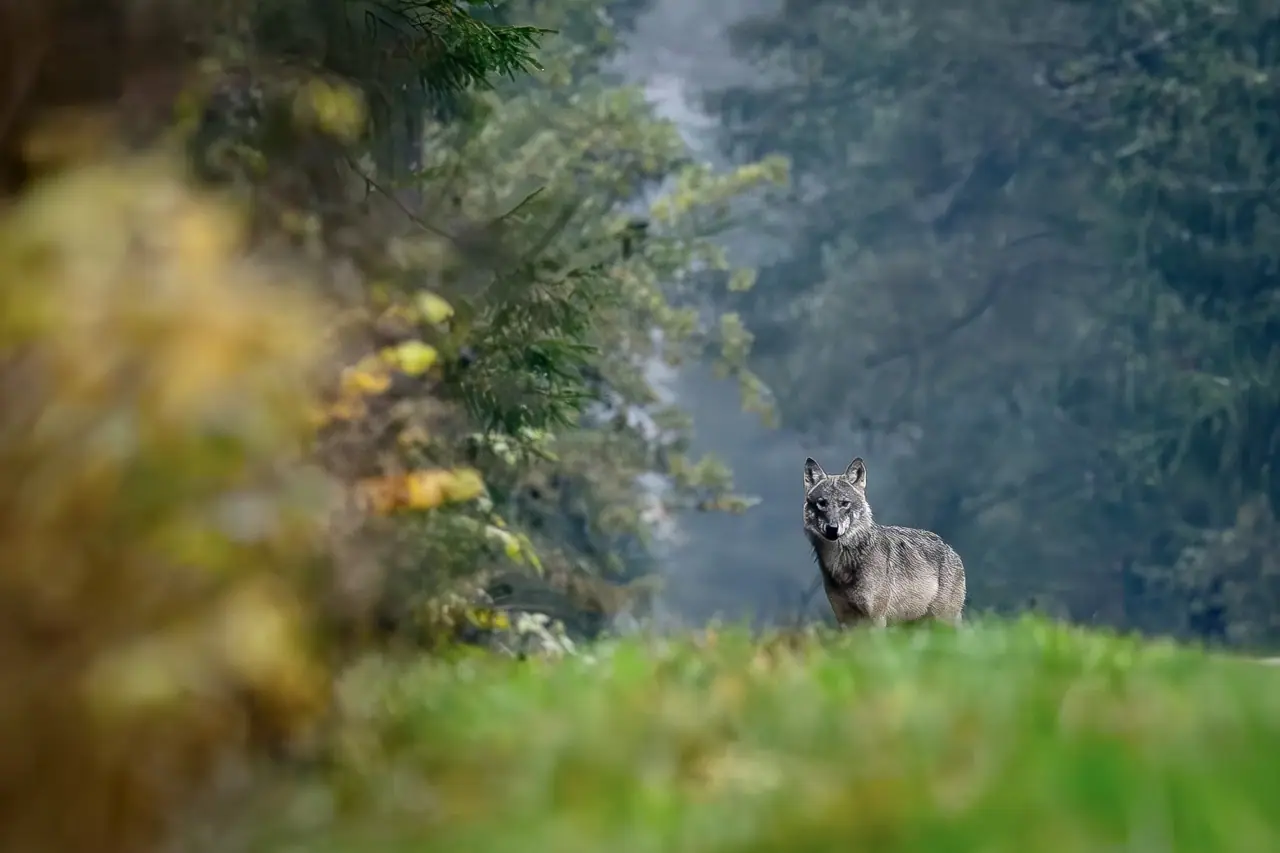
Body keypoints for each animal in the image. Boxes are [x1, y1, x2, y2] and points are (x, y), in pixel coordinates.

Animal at [803, 456, 965, 628]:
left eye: (844, 503)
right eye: (822, 503)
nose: (832, 529)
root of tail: (950, 548)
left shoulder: (876, 618)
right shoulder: (844, 620)